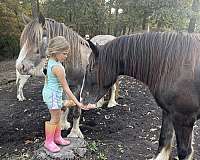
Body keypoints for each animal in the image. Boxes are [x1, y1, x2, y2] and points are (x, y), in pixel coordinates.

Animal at [81, 31, 200, 159]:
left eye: (91, 68)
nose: (82, 99)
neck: (176, 68)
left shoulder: (184, 118)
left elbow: (184, 152)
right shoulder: (168, 113)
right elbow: (164, 141)